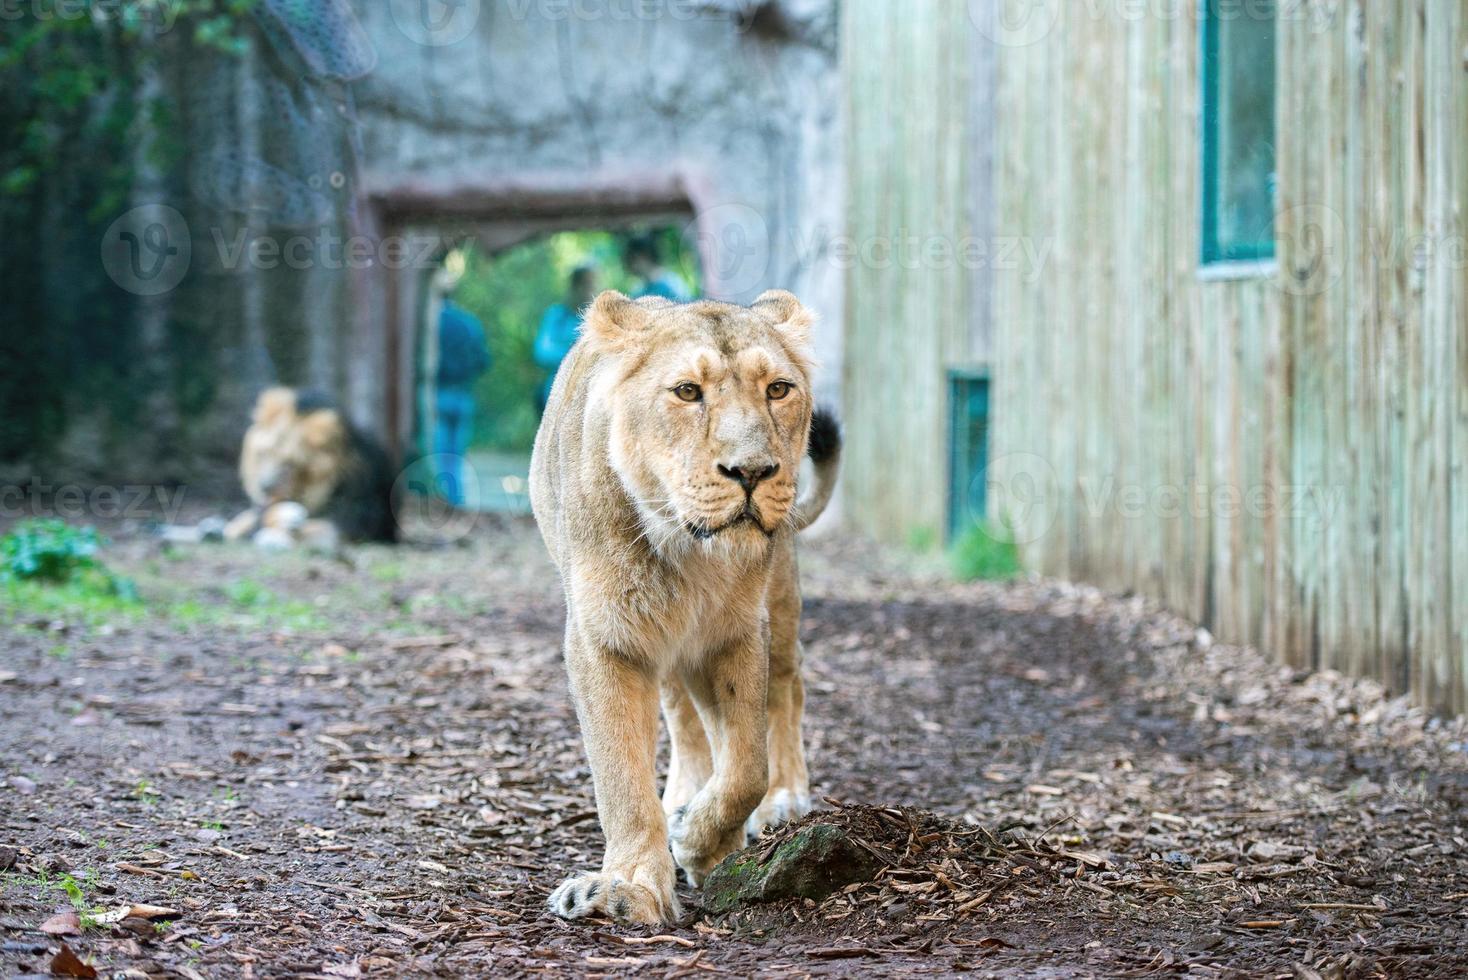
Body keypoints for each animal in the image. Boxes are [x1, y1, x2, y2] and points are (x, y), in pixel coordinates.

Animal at [223, 387, 399, 548]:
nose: (265, 487)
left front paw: (273, 537)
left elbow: (315, 530)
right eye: (265, 453)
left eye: (289, 464)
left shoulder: (354, 520)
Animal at [534, 287, 845, 921]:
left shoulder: (738, 632)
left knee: (787, 690)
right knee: (684, 717)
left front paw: (702, 844)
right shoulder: (605, 639)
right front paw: (627, 886)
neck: (688, 550)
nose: (752, 471)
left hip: (778, 603)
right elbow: (622, 777)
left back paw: (782, 799)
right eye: (686, 392)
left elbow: (747, 766)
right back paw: (682, 797)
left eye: (779, 389)